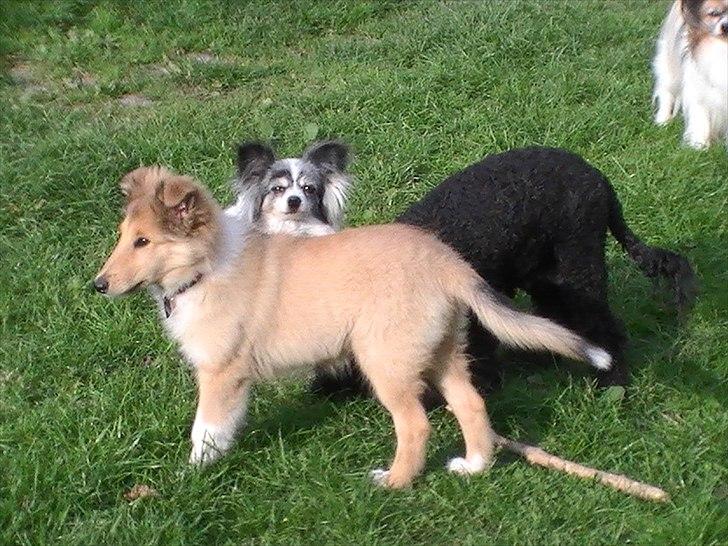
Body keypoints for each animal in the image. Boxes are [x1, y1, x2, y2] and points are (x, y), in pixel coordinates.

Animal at [94, 165, 612, 484]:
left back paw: (394, 482)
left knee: (416, 425)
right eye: (124, 237)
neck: (206, 266)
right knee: (471, 403)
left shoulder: (222, 374)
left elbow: (205, 431)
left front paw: (193, 475)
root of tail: (448, 264)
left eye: (143, 242)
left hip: (385, 360)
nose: (98, 286)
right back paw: (474, 466)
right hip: (440, 349)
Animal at [310, 147, 696, 398]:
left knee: (605, 327)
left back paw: (612, 381)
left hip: (579, 266)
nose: (321, 389)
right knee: (555, 316)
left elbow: (479, 354)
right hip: (547, 275)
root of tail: (601, 181)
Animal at [656, 0, 728, 148]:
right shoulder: (698, 90)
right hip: (670, 71)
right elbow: (701, 118)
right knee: (666, 92)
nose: (725, 26)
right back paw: (662, 120)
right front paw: (699, 145)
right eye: (714, 14)